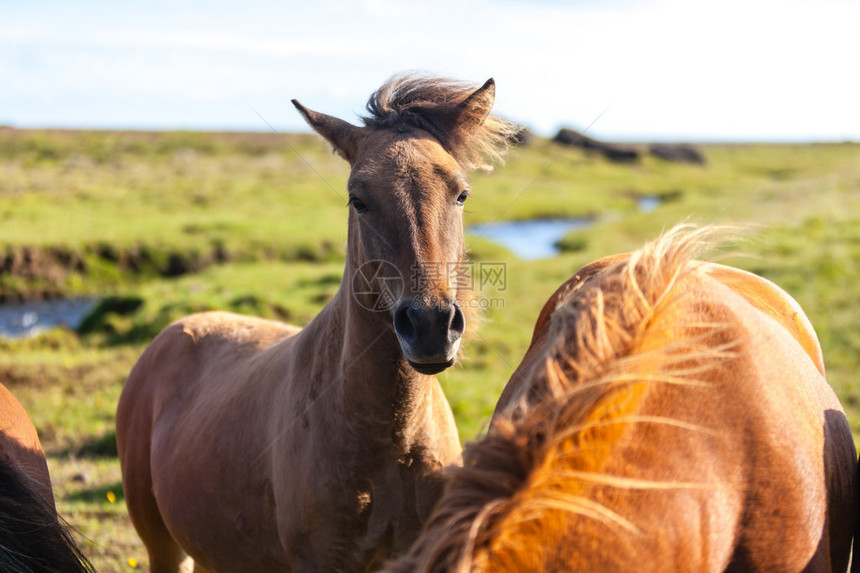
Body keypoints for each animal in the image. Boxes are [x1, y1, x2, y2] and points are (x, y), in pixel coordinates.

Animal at [116, 75, 512, 572]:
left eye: (461, 194)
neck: (389, 441)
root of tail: (171, 333)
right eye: (357, 199)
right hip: (163, 546)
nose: (429, 325)